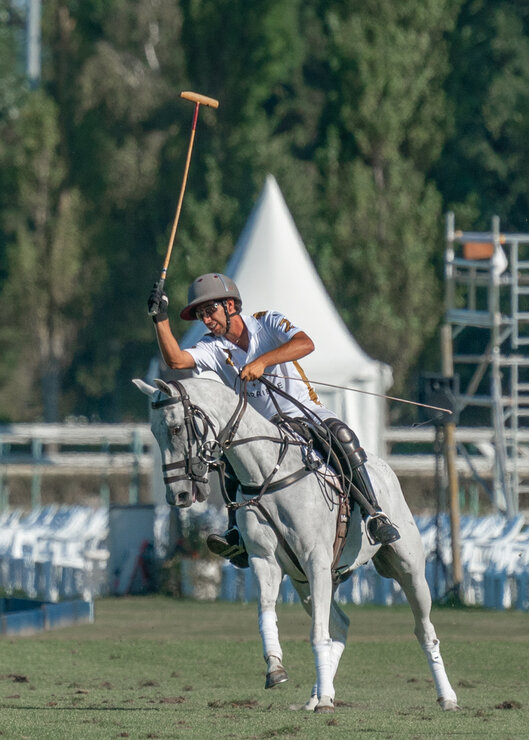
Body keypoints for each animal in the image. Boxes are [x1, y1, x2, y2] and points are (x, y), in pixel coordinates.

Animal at [133, 378, 458, 712]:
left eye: (175, 428)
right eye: (153, 431)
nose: (178, 495)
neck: (267, 472)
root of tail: (386, 467)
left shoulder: (316, 560)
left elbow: (317, 634)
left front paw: (325, 699)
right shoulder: (265, 560)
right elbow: (267, 612)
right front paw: (277, 670)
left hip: (407, 569)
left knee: (424, 629)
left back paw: (446, 697)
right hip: (309, 583)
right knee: (339, 624)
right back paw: (316, 695)